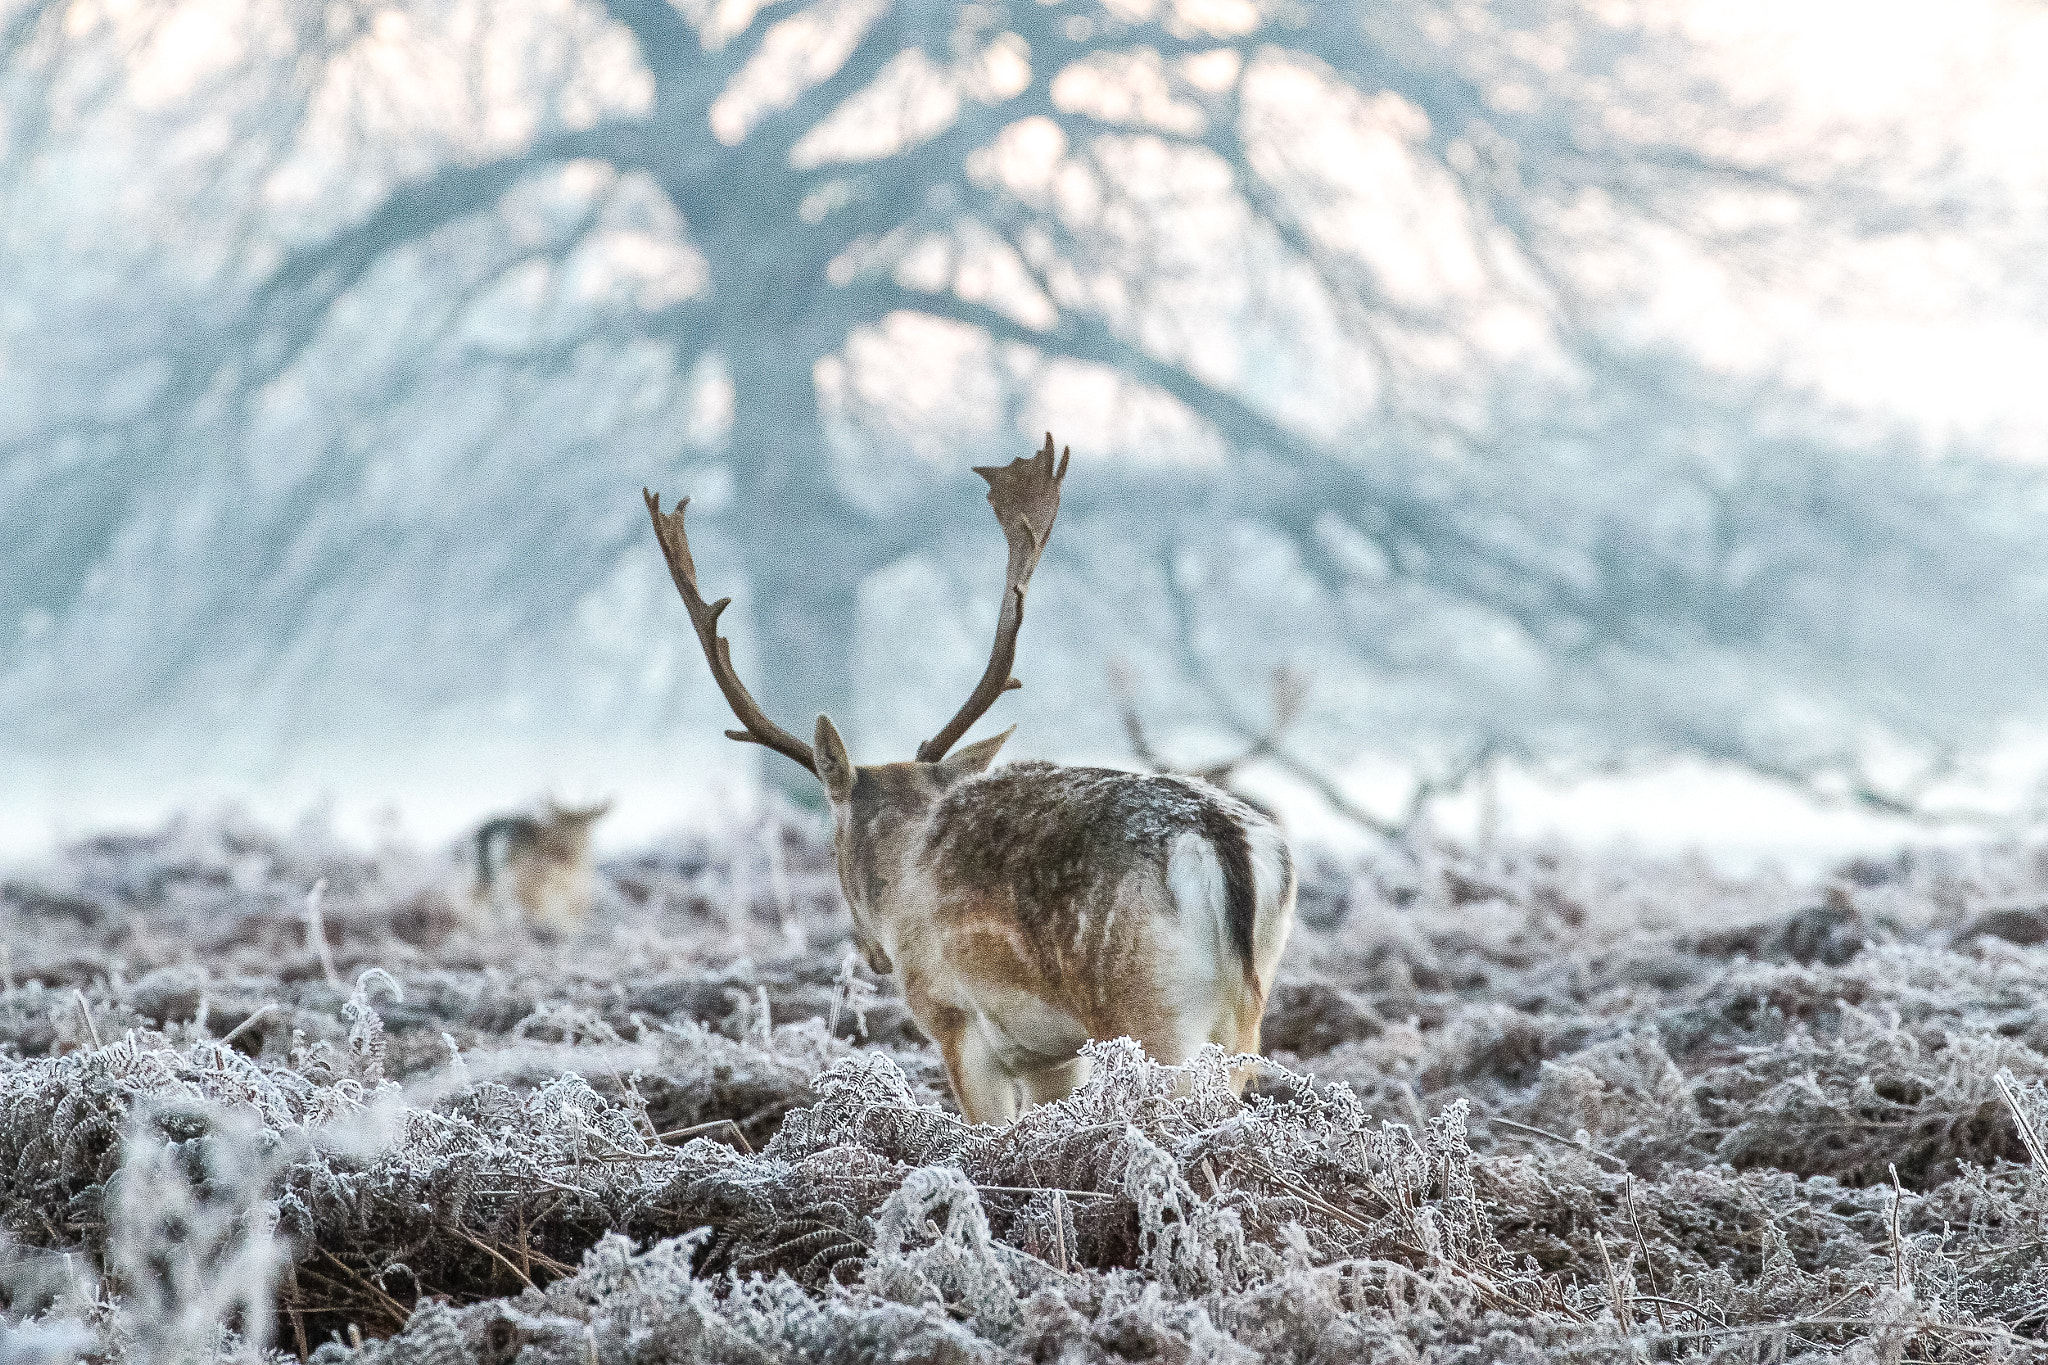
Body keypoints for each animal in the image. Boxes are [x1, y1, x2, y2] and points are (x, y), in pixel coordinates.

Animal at [644, 434, 1296, 1124]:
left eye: (834, 841)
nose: (873, 954)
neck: (901, 874)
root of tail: (1224, 841)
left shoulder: (957, 1019)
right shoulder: (1053, 1051)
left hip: (1152, 1011)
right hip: (1243, 1014)